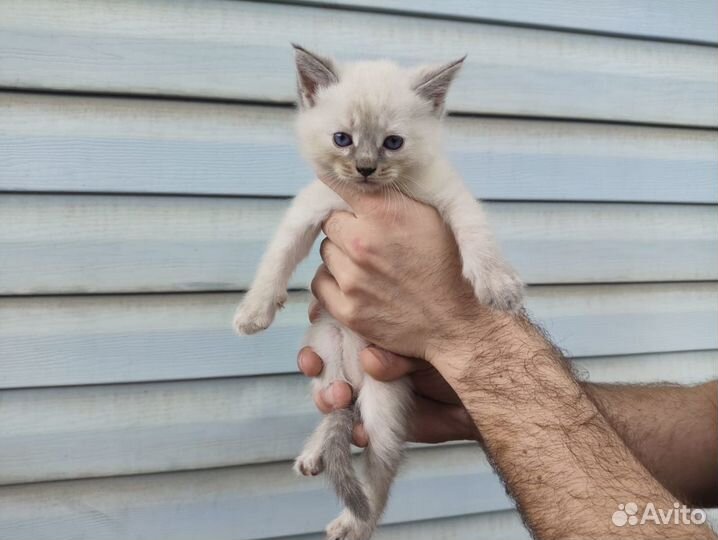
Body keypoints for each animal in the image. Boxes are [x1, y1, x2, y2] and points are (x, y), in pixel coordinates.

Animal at [236, 44, 524, 536]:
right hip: (327, 365)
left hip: (383, 405)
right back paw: (315, 455)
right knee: (337, 414)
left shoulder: (451, 197)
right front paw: (254, 312)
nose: (366, 169)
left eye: (393, 143)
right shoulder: (311, 208)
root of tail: (354, 376)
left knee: (380, 475)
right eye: (342, 139)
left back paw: (356, 522)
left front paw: (496, 283)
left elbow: (476, 235)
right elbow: (277, 256)